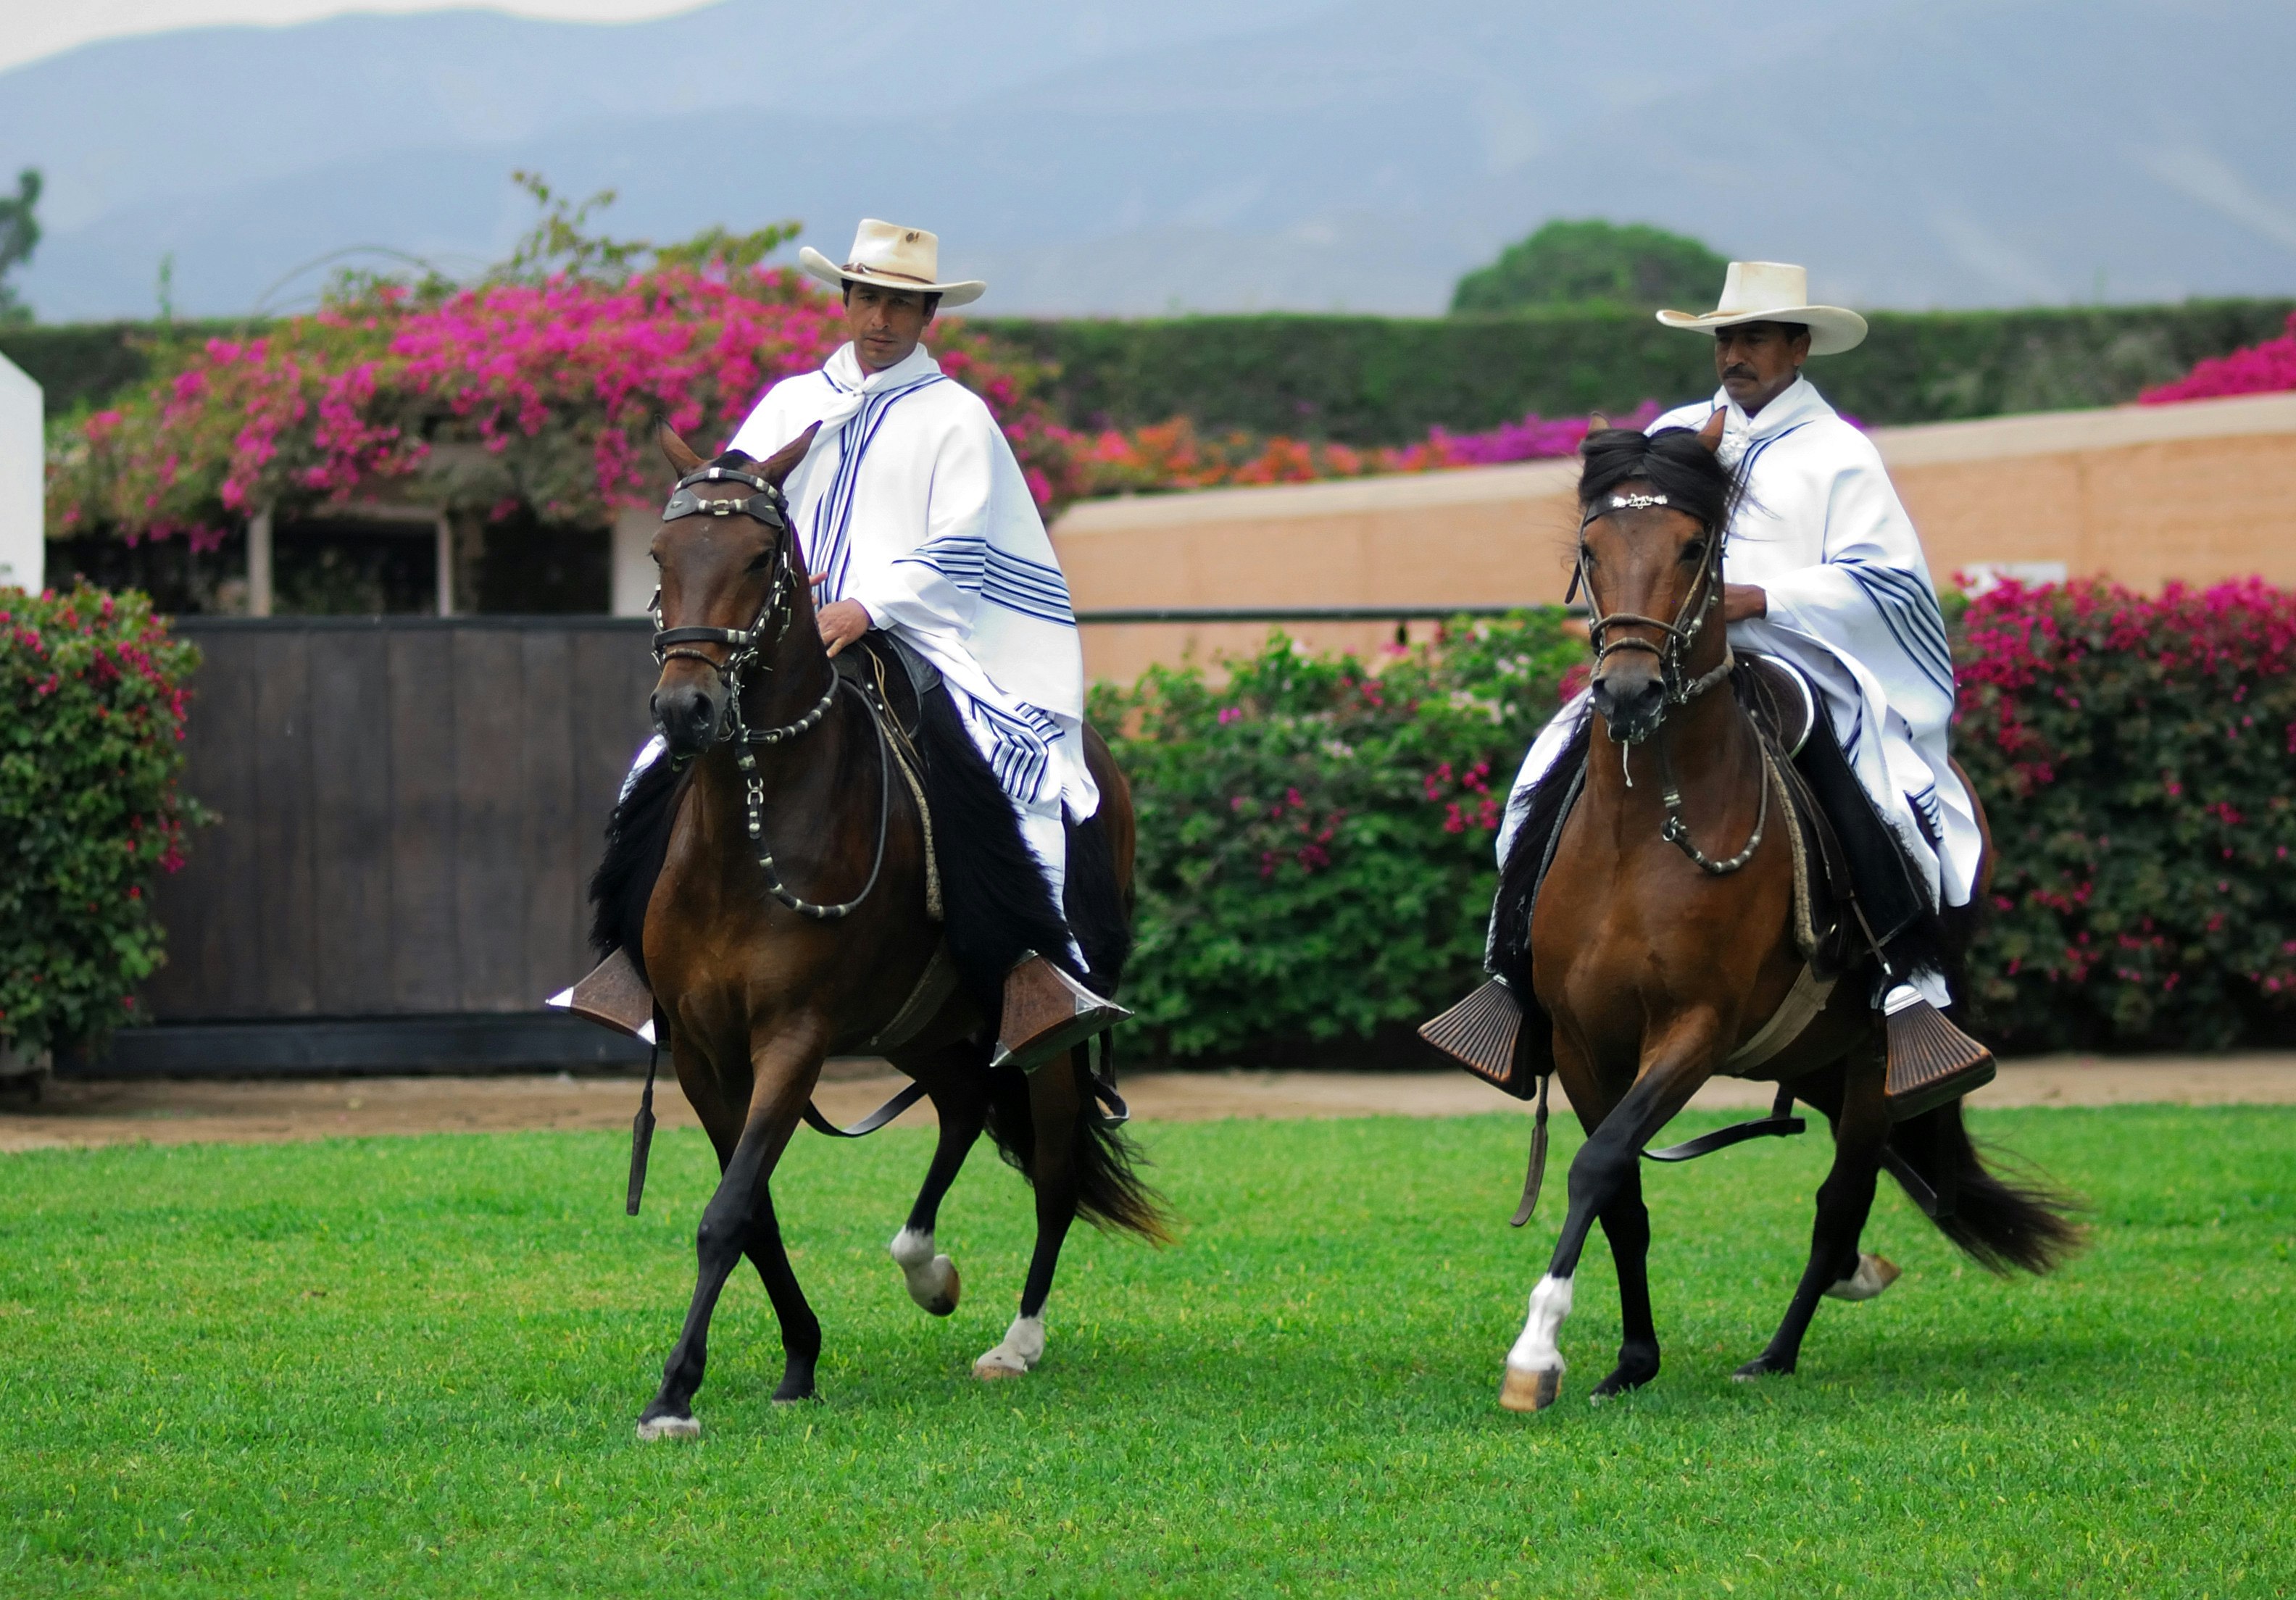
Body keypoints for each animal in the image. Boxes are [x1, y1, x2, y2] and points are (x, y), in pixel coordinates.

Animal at [603, 422, 1165, 1440]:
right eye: (662, 555)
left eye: (758, 558)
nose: (685, 709)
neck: (750, 841)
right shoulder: (705, 1050)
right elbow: (755, 1211)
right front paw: (798, 1358)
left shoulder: (795, 1037)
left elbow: (727, 1212)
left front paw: (674, 1394)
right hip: (924, 1026)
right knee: (964, 1109)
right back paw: (925, 1267)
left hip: (1044, 1036)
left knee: (1055, 1169)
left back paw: (1016, 1343)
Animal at [1486, 416, 2076, 1411]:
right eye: (1591, 549)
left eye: (1695, 546)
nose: (1630, 693)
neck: (1641, 834)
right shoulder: (1579, 1038)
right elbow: (1621, 1197)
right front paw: (1631, 1360)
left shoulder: (1693, 1029)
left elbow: (1599, 1164)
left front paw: (1535, 1353)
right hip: (1817, 1057)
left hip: (1873, 1061)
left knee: (1841, 1202)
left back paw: (1780, 1349)